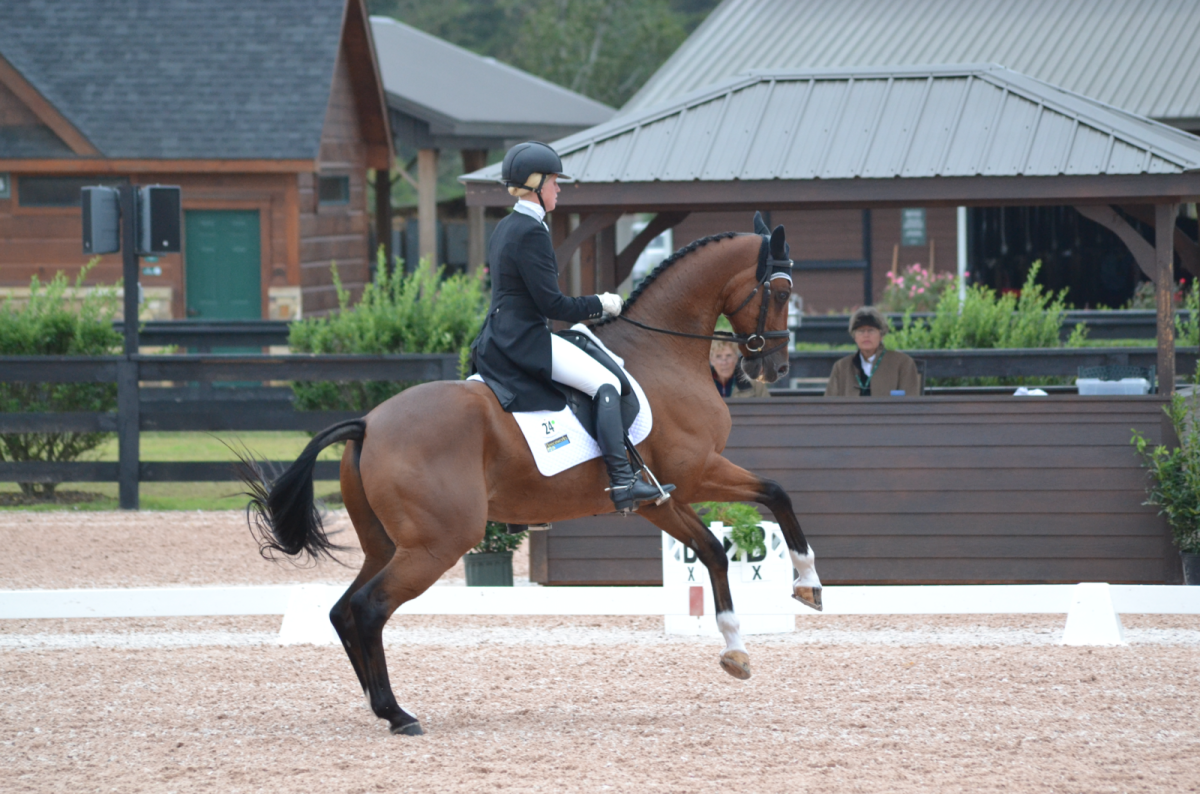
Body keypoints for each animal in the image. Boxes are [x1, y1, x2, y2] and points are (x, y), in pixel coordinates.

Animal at [238, 218, 820, 738]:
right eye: (782, 290)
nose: (774, 368)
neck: (661, 352)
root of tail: (368, 424)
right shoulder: (695, 472)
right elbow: (777, 494)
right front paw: (808, 584)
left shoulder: (659, 497)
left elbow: (716, 549)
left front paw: (737, 649)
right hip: (438, 543)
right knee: (368, 607)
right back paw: (398, 714)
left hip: (388, 544)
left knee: (343, 610)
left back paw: (381, 708)